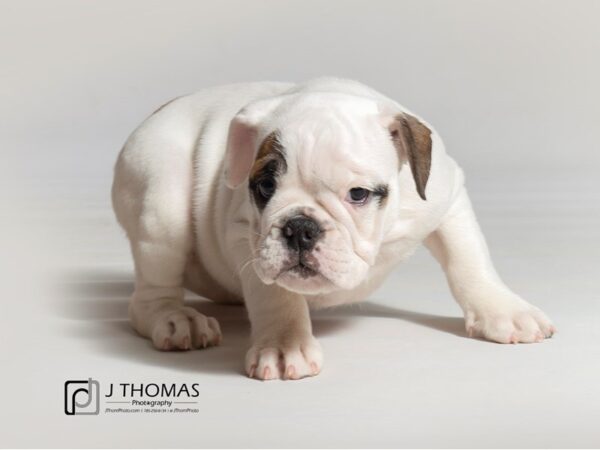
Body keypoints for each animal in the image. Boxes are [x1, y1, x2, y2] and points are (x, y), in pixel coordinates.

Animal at [111, 77, 552, 380]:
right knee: (148, 296)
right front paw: (284, 345)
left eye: (358, 194)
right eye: (264, 187)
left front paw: (504, 311)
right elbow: (275, 295)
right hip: (163, 202)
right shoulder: (246, 238)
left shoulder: (448, 196)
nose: (299, 227)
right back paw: (175, 319)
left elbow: (469, 260)